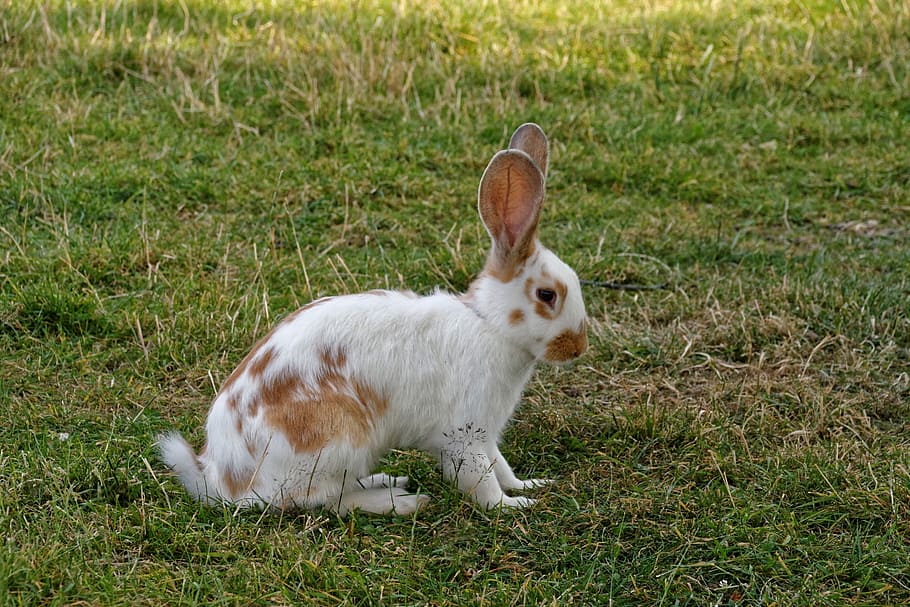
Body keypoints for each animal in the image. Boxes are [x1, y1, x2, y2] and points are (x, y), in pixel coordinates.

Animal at [158, 123, 588, 515]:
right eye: (547, 295)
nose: (578, 348)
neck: (489, 324)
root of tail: (226, 480)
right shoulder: (464, 434)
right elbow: (481, 481)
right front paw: (514, 506)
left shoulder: (487, 435)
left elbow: (501, 467)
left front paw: (529, 485)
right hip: (339, 441)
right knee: (318, 500)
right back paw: (400, 500)